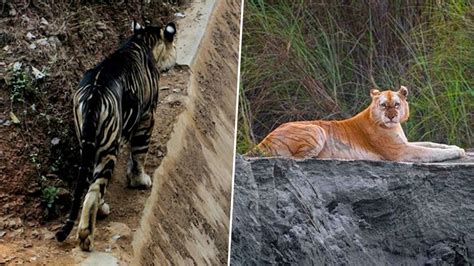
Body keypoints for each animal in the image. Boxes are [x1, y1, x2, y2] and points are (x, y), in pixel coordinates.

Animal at [55, 21, 178, 251]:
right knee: (93, 191)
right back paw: (86, 237)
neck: (142, 39)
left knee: (92, 183)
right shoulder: (147, 115)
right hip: (107, 148)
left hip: (88, 145)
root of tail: (93, 96)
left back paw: (101, 211)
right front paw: (140, 180)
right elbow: (140, 153)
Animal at [252, 86, 466, 163]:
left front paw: (458, 148)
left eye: (397, 104)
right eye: (383, 105)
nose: (391, 117)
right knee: (296, 159)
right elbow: (431, 152)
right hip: (317, 130)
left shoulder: (404, 143)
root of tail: (263, 141)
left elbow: (431, 144)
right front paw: (455, 152)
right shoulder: (401, 152)